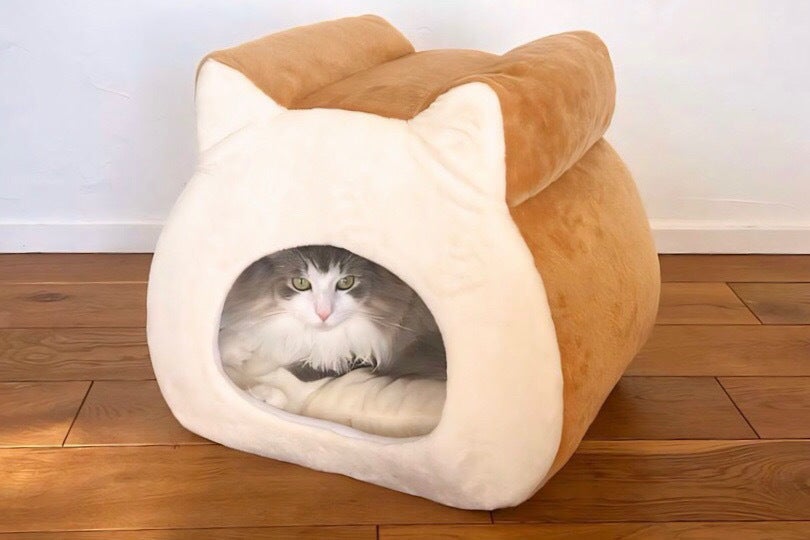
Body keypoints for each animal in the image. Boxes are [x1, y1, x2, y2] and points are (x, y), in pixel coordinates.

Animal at [218, 245, 446, 397]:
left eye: (346, 282)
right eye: (300, 283)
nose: (324, 313)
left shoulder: (359, 357)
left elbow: (290, 375)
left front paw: (261, 392)